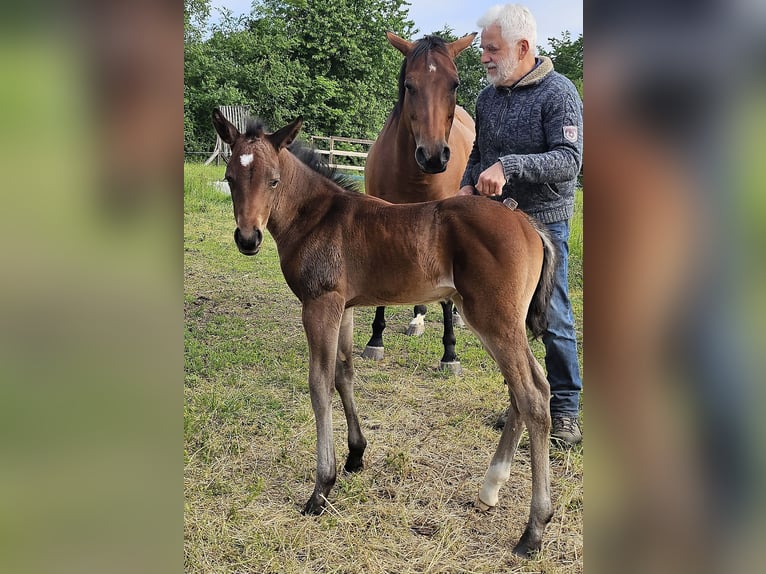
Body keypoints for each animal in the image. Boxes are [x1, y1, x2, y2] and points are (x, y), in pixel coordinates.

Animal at [211, 108, 559, 556]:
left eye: (273, 179)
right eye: (231, 177)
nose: (247, 238)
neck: (317, 216)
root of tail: (527, 222)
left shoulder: (319, 304)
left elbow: (319, 383)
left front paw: (321, 489)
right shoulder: (342, 307)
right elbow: (344, 373)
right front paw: (355, 456)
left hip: (494, 319)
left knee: (532, 396)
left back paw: (533, 530)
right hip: (496, 322)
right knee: (528, 388)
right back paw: (490, 489)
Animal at [362, 32, 477, 372]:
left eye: (454, 84)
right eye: (409, 85)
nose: (434, 155)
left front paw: (450, 354)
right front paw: (375, 340)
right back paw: (418, 318)